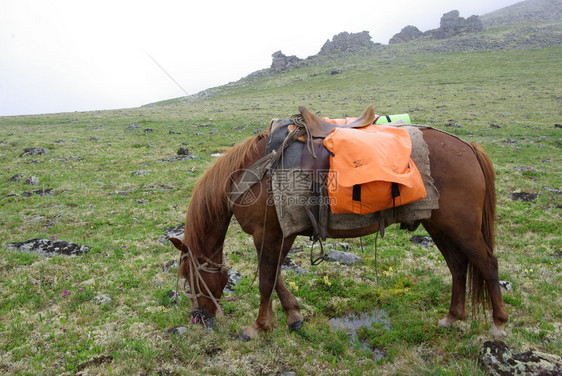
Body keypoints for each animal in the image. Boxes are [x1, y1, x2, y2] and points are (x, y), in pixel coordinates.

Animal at [168, 113, 506, 340]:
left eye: (189, 279)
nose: (201, 318)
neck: (250, 174)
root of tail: (468, 146)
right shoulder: (283, 233)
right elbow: (276, 277)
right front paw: (293, 316)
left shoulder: (269, 234)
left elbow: (266, 280)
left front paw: (259, 326)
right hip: (439, 225)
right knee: (458, 266)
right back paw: (452, 318)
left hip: (461, 226)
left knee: (487, 264)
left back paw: (498, 325)